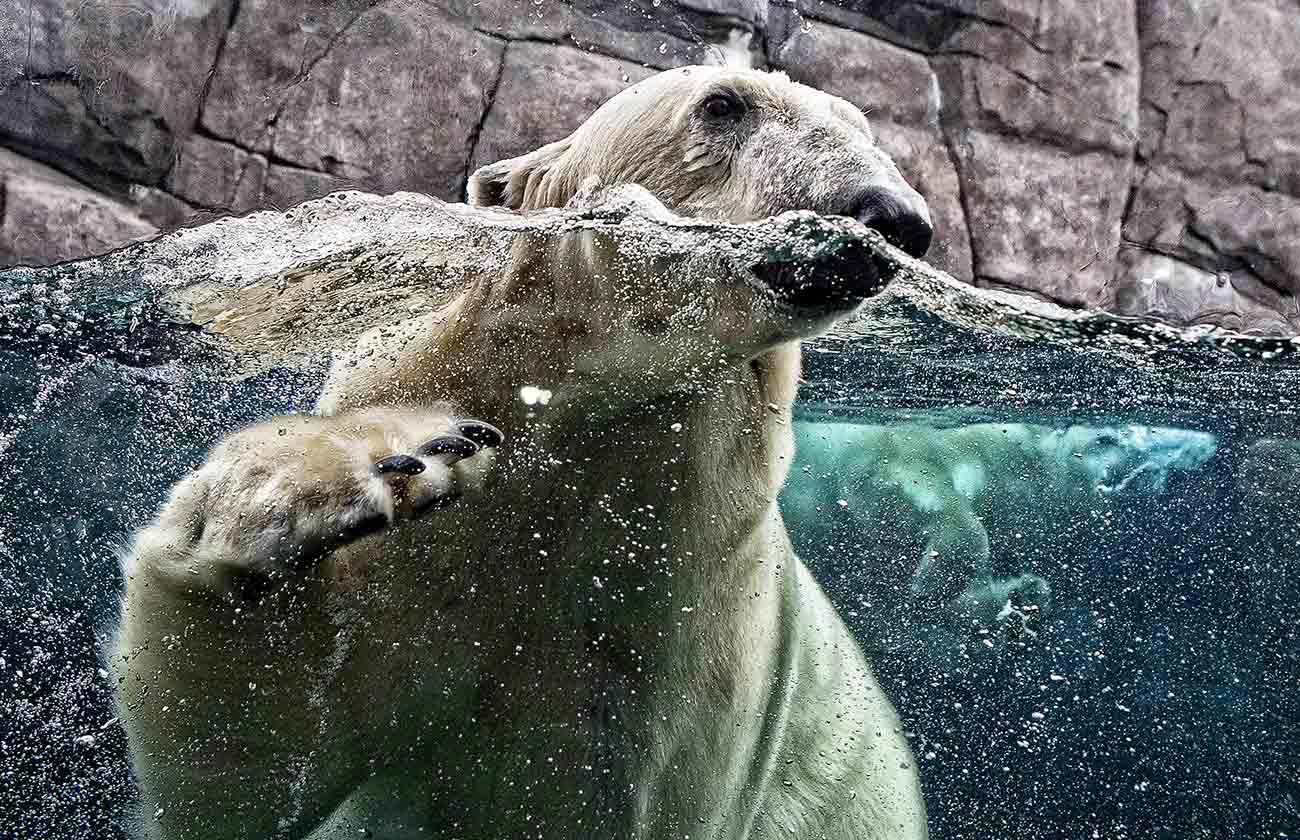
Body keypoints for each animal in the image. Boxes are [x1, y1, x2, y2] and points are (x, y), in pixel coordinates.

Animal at [110, 66, 934, 840]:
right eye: (722, 104)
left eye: (863, 125)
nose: (895, 218)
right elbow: (255, 768)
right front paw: (349, 469)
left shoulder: (690, 611)